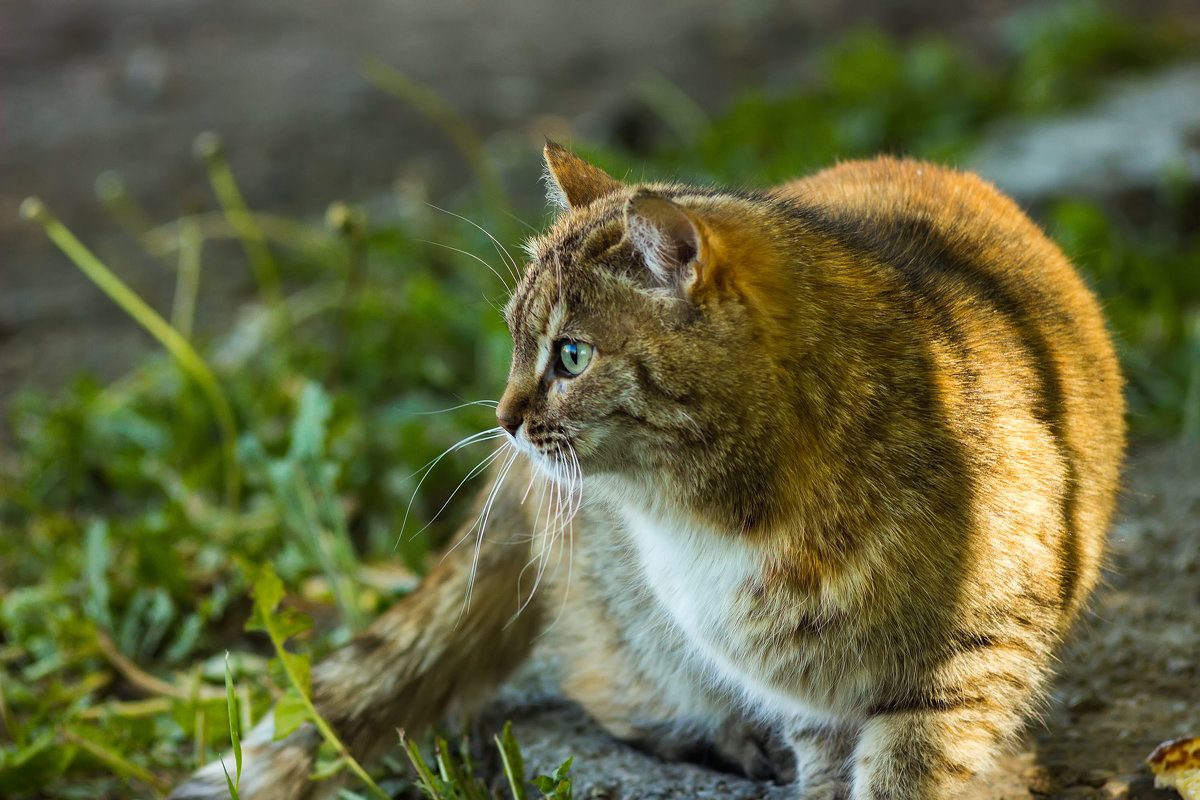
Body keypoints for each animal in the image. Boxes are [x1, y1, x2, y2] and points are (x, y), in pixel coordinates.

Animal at [171, 143, 1123, 800]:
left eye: (571, 355)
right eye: (515, 342)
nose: (502, 418)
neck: (724, 519)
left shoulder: (966, 664)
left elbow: (909, 772)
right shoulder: (806, 694)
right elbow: (823, 764)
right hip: (629, 619)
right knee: (602, 681)